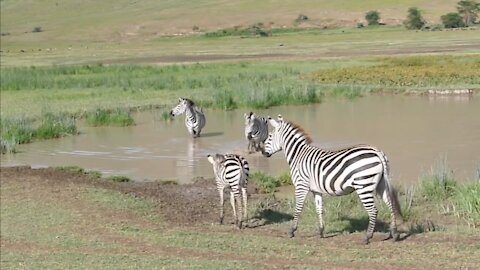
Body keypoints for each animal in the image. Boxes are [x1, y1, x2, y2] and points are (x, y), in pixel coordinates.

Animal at [262, 115, 402, 244]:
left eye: (269, 137)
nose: (263, 152)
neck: (298, 155)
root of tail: (377, 151)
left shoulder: (301, 185)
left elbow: (298, 208)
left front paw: (292, 231)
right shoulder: (316, 190)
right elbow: (319, 209)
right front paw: (321, 232)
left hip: (363, 186)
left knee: (373, 211)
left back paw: (367, 237)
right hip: (381, 184)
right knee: (390, 205)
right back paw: (394, 234)